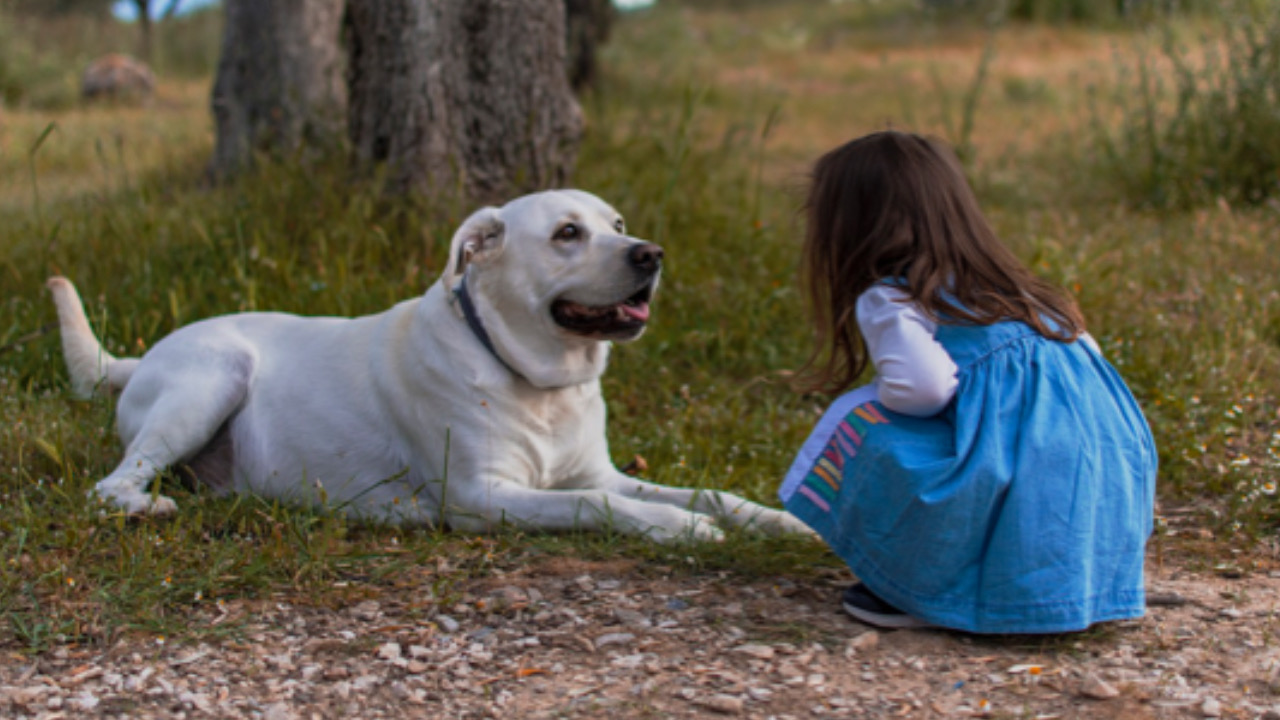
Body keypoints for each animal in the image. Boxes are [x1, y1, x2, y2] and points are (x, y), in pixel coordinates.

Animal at [52, 188, 808, 540]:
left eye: (616, 225)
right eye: (567, 233)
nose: (651, 254)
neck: (538, 381)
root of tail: (139, 358)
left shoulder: (599, 471)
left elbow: (706, 492)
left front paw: (776, 521)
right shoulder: (483, 496)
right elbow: (597, 505)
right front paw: (679, 529)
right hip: (211, 379)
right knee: (110, 485)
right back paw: (145, 507)